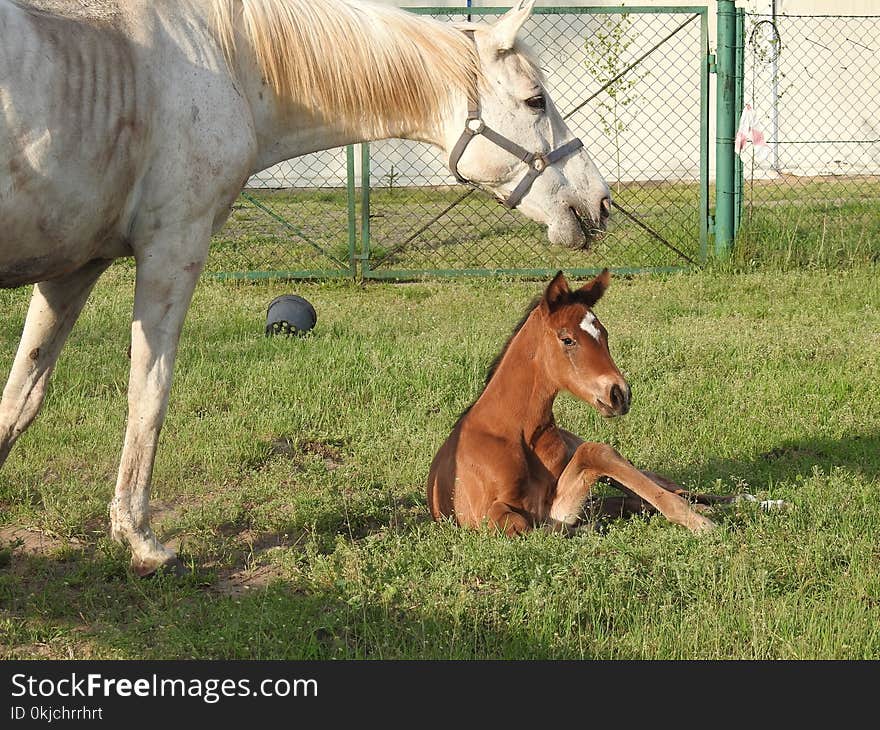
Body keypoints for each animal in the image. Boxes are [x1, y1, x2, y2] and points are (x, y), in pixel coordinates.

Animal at [0, 0, 608, 576]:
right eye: (535, 100)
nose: (599, 202)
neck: (224, 59)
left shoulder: (74, 268)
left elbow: (21, 396)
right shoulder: (172, 249)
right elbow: (148, 394)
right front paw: (141, 540)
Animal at [426, 270, 736, 532]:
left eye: (605, 334)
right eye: (567, 340)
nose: (619, 393)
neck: (515, 431)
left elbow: (598, 453)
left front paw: (696, 520)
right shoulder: (486, 514)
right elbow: (527, 523)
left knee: (661, 485)